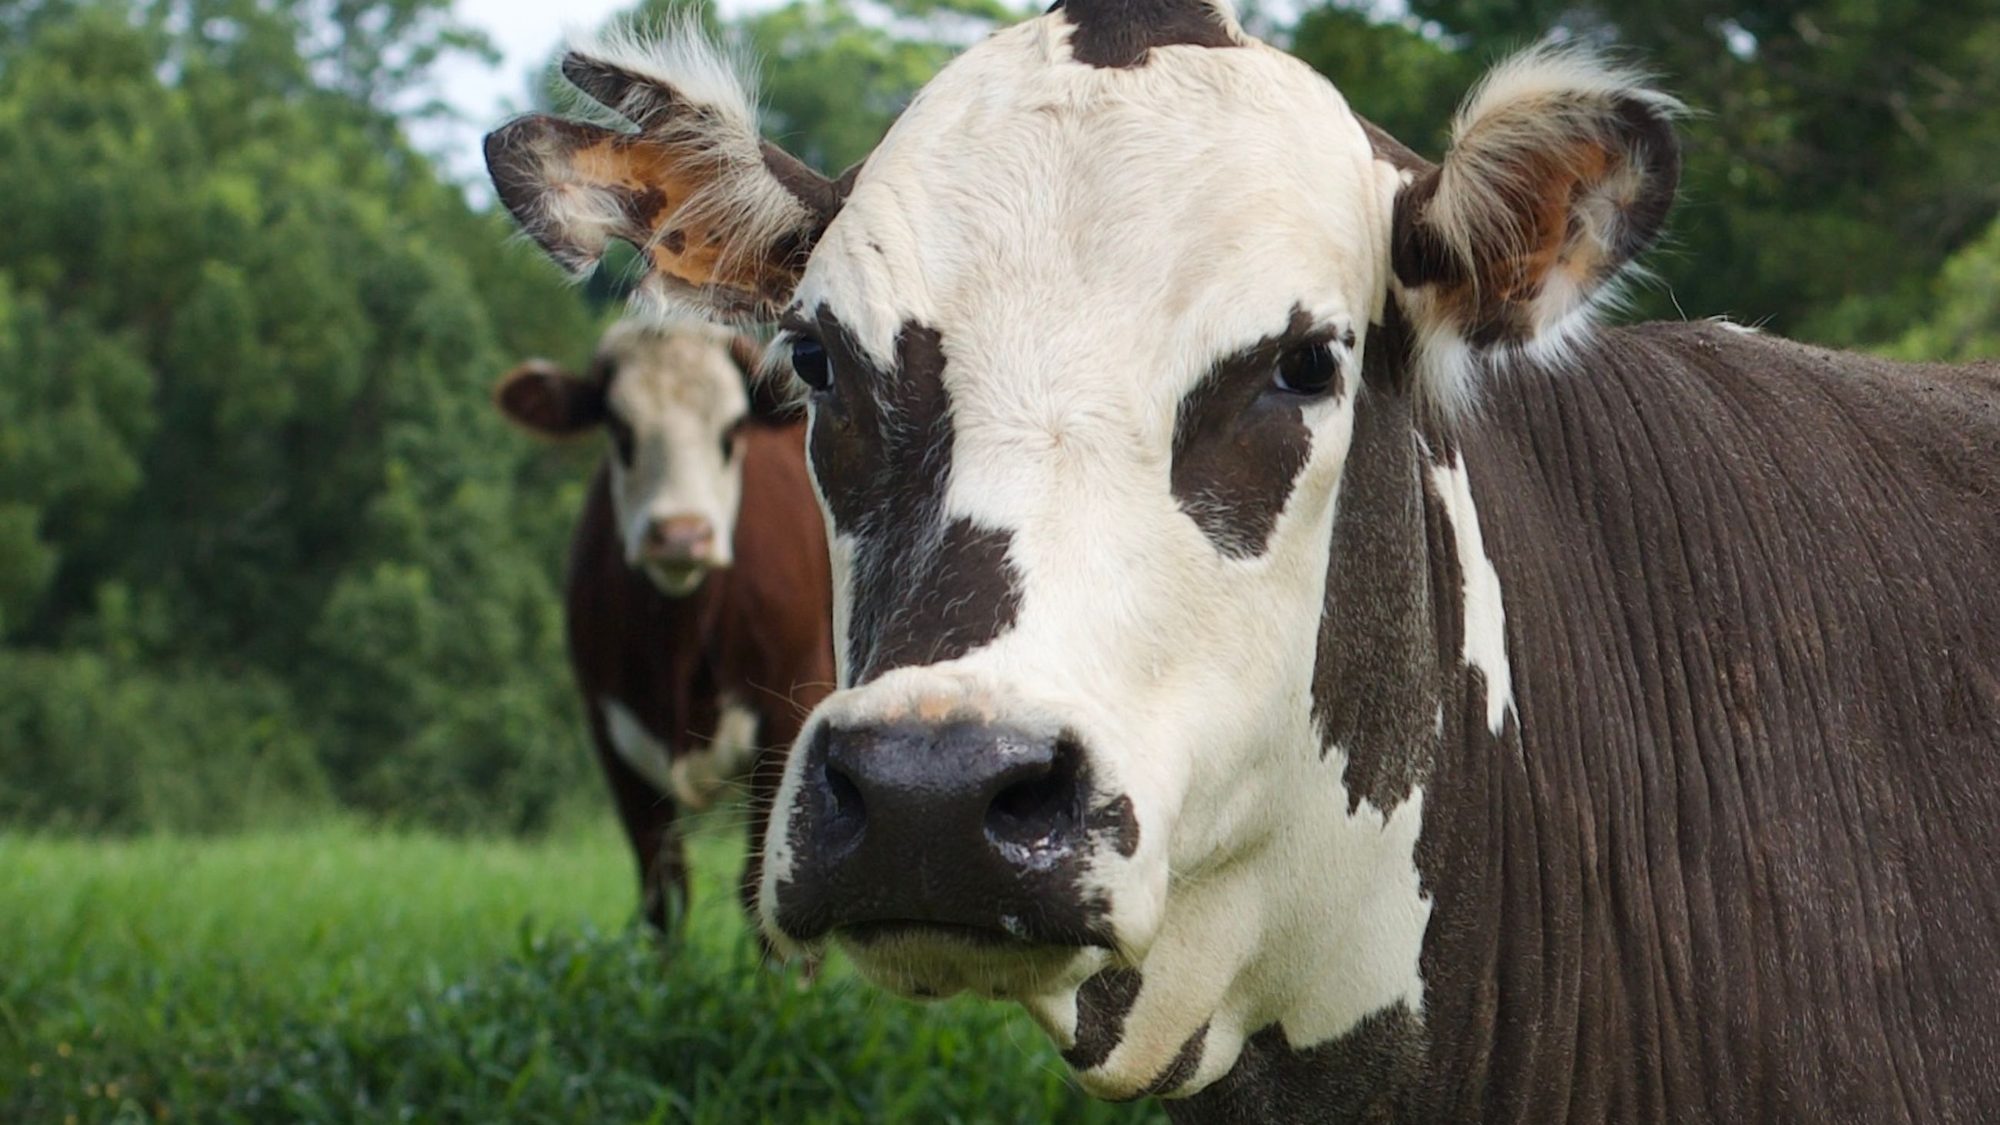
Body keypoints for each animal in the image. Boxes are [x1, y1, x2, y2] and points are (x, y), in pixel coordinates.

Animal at [495, 318, 833, 938]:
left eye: (732, 429)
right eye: (620, 429)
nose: (680, 535)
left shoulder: (791, 710)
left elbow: (767, 894)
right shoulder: (611, 732)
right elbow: (664, 893)